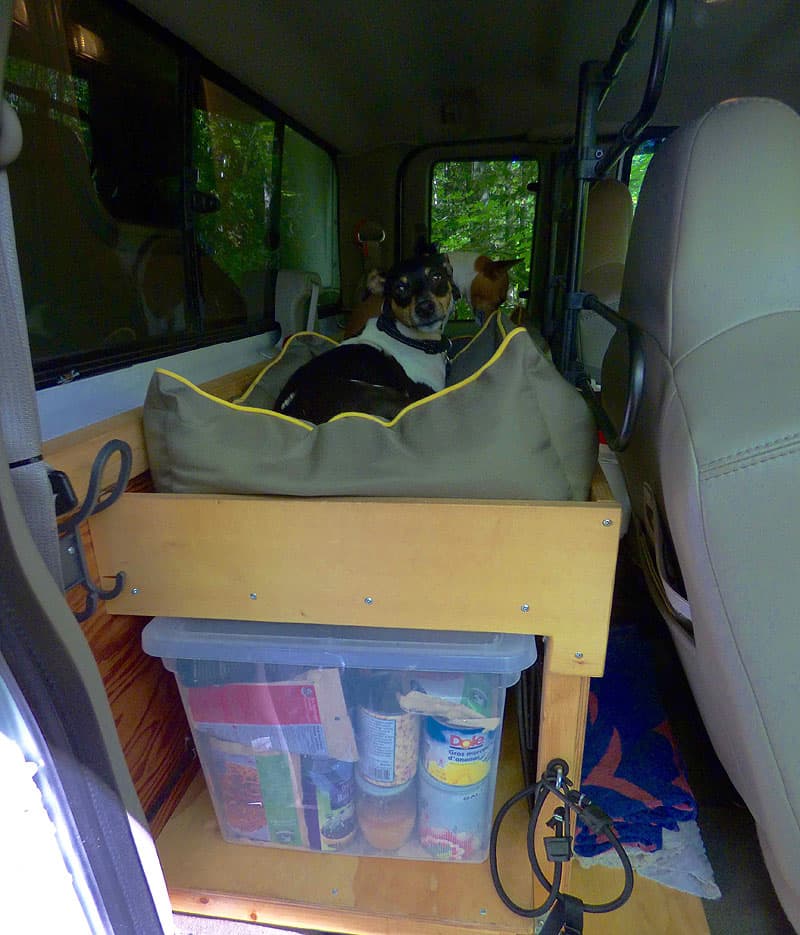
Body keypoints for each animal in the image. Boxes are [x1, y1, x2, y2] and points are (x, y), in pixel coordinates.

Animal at [274, 250, 454, 422]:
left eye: (436, 277)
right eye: (400, 288)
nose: (425, 308)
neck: (405, 336)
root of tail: (291, 410)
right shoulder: (425, 396)